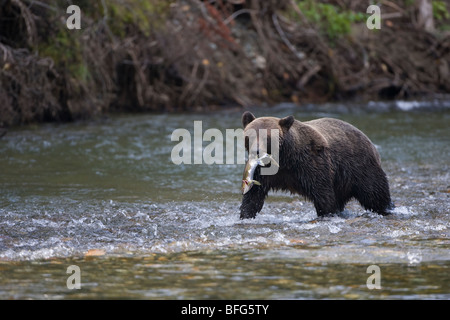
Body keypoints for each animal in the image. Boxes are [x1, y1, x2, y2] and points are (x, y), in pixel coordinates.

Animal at [239, 111, 394, 219]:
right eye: (250, 136)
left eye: (267, 137)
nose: (256, 151)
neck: (284, 158)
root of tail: (370, 141)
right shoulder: (264, 172)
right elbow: (253, 196)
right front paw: (246, 215)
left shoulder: (312, 164)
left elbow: (323, 195)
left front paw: (326, 214)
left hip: (360, 168)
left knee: (375, 194)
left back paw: (387, 209)